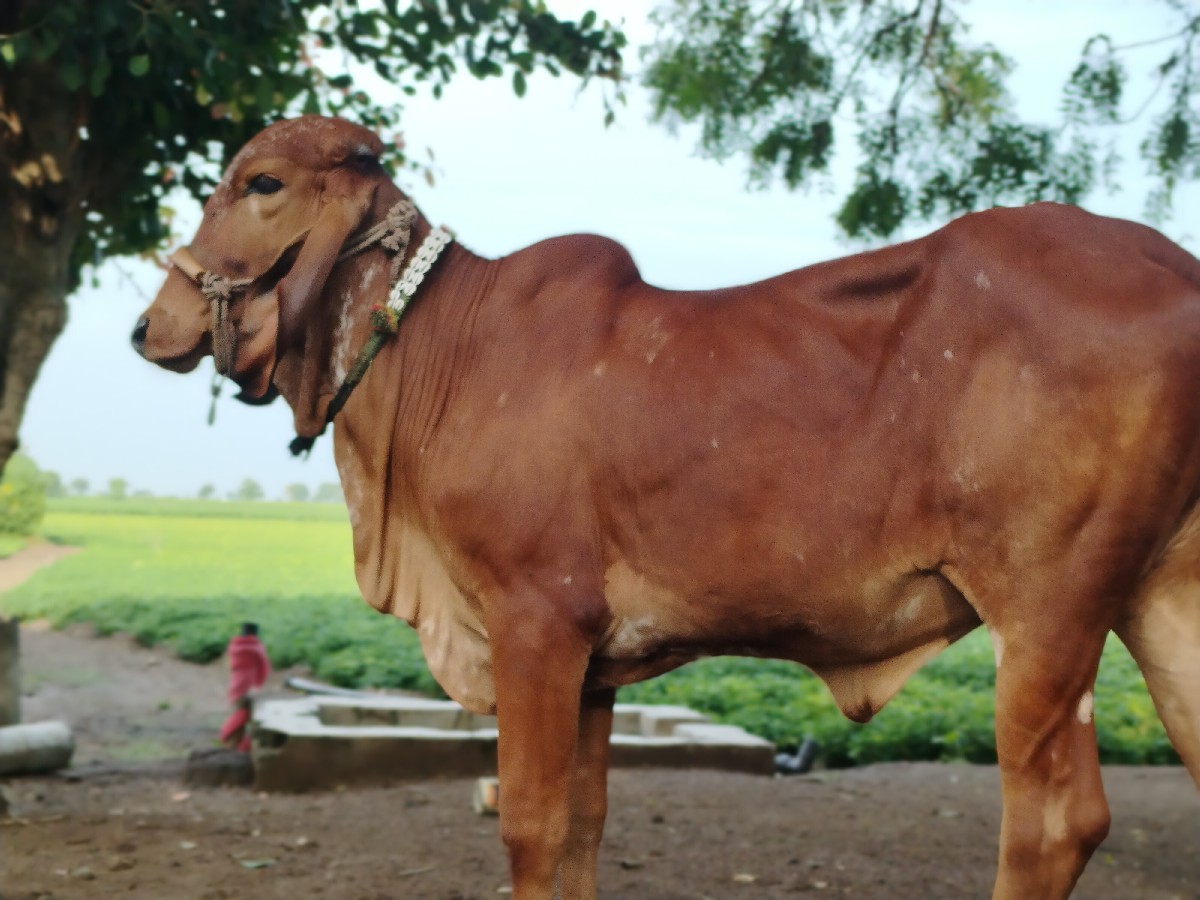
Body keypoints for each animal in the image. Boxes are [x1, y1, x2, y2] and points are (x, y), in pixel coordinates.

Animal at [132, 115, 1200, 899]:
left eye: (262, 184)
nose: (152, 327)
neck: (438, 350)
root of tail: (1175, 267)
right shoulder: (595, 666)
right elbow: (583, 827)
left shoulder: (535, 621)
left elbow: (529, 824)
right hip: (1159, 601)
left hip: (1049, 612)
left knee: (1054, 823)